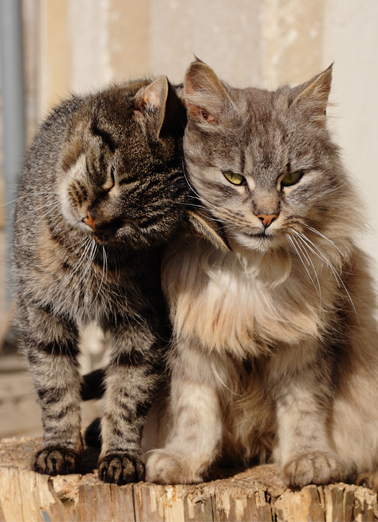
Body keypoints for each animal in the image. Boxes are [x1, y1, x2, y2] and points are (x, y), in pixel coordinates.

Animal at [145, 60, 378, 488]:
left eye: (292, 179)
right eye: (235, 179)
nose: (267, 216)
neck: (251, 273)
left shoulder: (306, 347)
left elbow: (304, 412)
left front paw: (310, 460)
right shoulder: (194, 343)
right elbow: (194, 412)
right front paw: (182, 461)